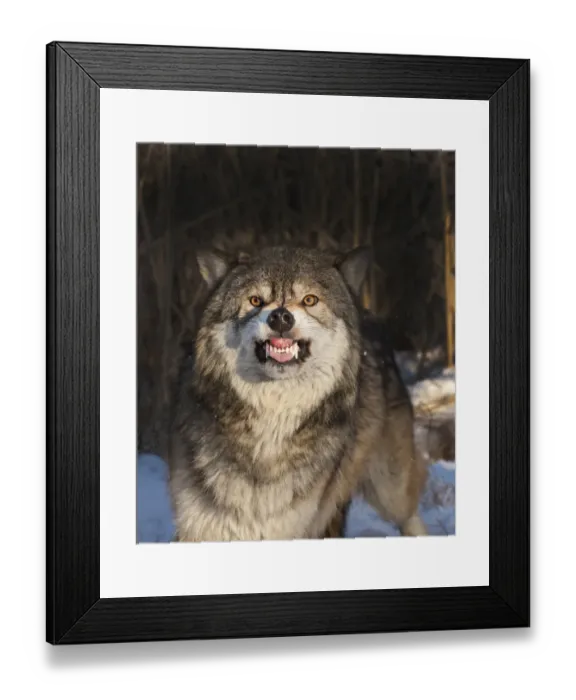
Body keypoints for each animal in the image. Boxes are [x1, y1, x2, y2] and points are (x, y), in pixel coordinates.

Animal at [168, 245, 428, 541]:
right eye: (255, 300)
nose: (281, 316)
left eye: (309, 300)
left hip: (389, 489)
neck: (270, 429)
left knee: (410, 514)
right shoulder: (201, 526)